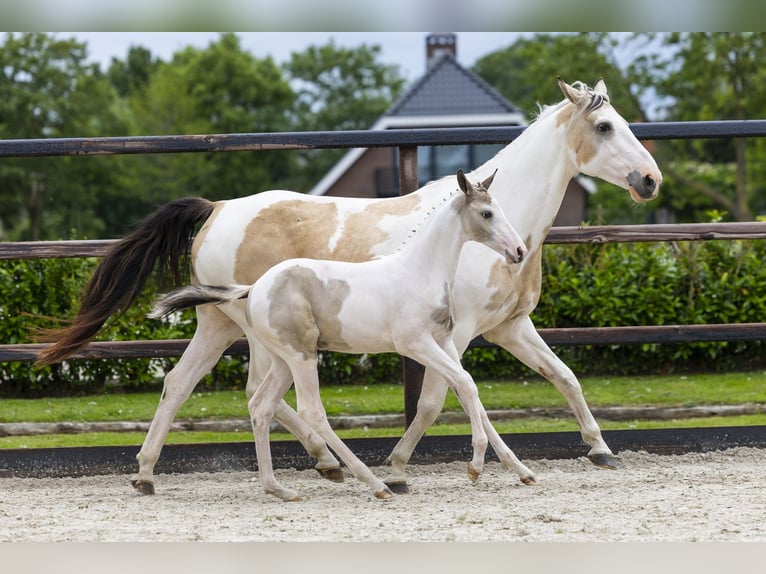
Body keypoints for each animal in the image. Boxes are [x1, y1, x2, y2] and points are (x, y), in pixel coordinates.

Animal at [149, 170, 534, 501]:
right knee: (311, 411)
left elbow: (467, 388)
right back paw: (373, 482)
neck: (419, 270)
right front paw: (475, 466)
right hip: (302, 357)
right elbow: (465, 384)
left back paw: (279, 488)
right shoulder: (415, 344)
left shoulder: (443, 342)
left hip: (283, 361)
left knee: (260, 405)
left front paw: (511, 468)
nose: (519, 251)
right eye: (487, 213)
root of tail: (254, 287)